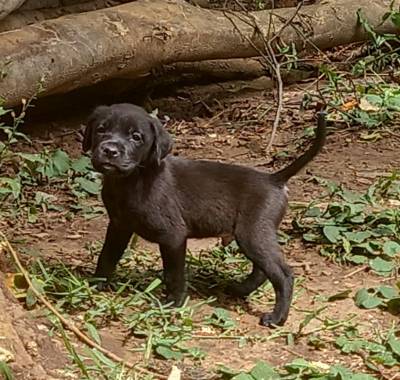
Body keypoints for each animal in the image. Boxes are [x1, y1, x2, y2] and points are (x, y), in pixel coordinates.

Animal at [83, 103, 326, 326]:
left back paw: (277, 318)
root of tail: (274, 179)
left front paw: (173, 303)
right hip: (255, 236)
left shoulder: (173, 237)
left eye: (136, 137)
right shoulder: (118, 226)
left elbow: (174, 274)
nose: (109, 150)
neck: (132, 181)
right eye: (101, 129)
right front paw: (95, 284)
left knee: (283, 275)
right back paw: (240, 289)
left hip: (253, 234)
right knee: (262, 270)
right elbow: (106, 257)